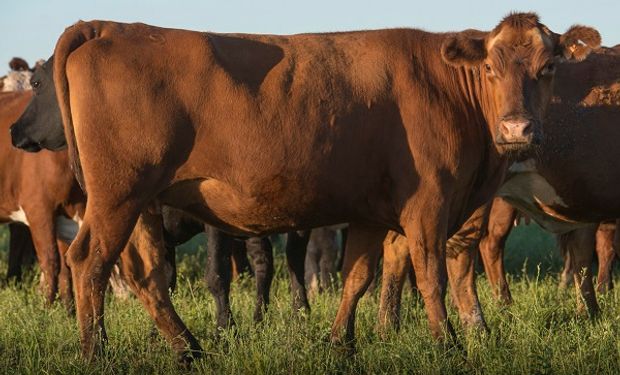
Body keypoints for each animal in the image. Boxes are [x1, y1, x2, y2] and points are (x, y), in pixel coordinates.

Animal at [10, 14, 600, 364]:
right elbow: (430, 276)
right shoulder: (429, 206)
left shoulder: (369, 212)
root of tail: (106, 25)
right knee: (88, 263)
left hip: (140, 203)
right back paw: (96, 354)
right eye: (492, 67)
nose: (518, 129)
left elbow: (357, 277)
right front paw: (447, 344)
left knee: (146, 274)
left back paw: (189, 348)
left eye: (548, 67)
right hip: (118, 195)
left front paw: (342, 342)